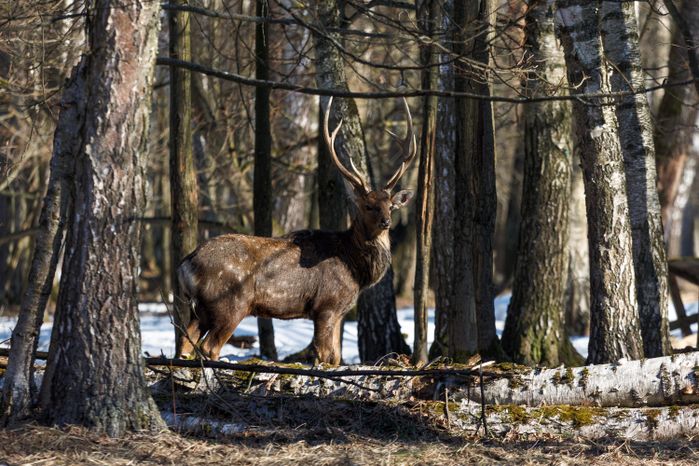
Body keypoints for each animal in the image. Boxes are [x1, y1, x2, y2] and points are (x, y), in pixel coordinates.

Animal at [176, 97, 416, 365]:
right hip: (229, 303)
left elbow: (336, 357)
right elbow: (323, 355)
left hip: (201, 310)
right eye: (368, 205)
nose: (386, 222)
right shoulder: (326, 305)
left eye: (391, 206)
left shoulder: (340, 312)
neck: (354, 267)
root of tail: (185, 264)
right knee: (209, 347)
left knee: (185, 343)